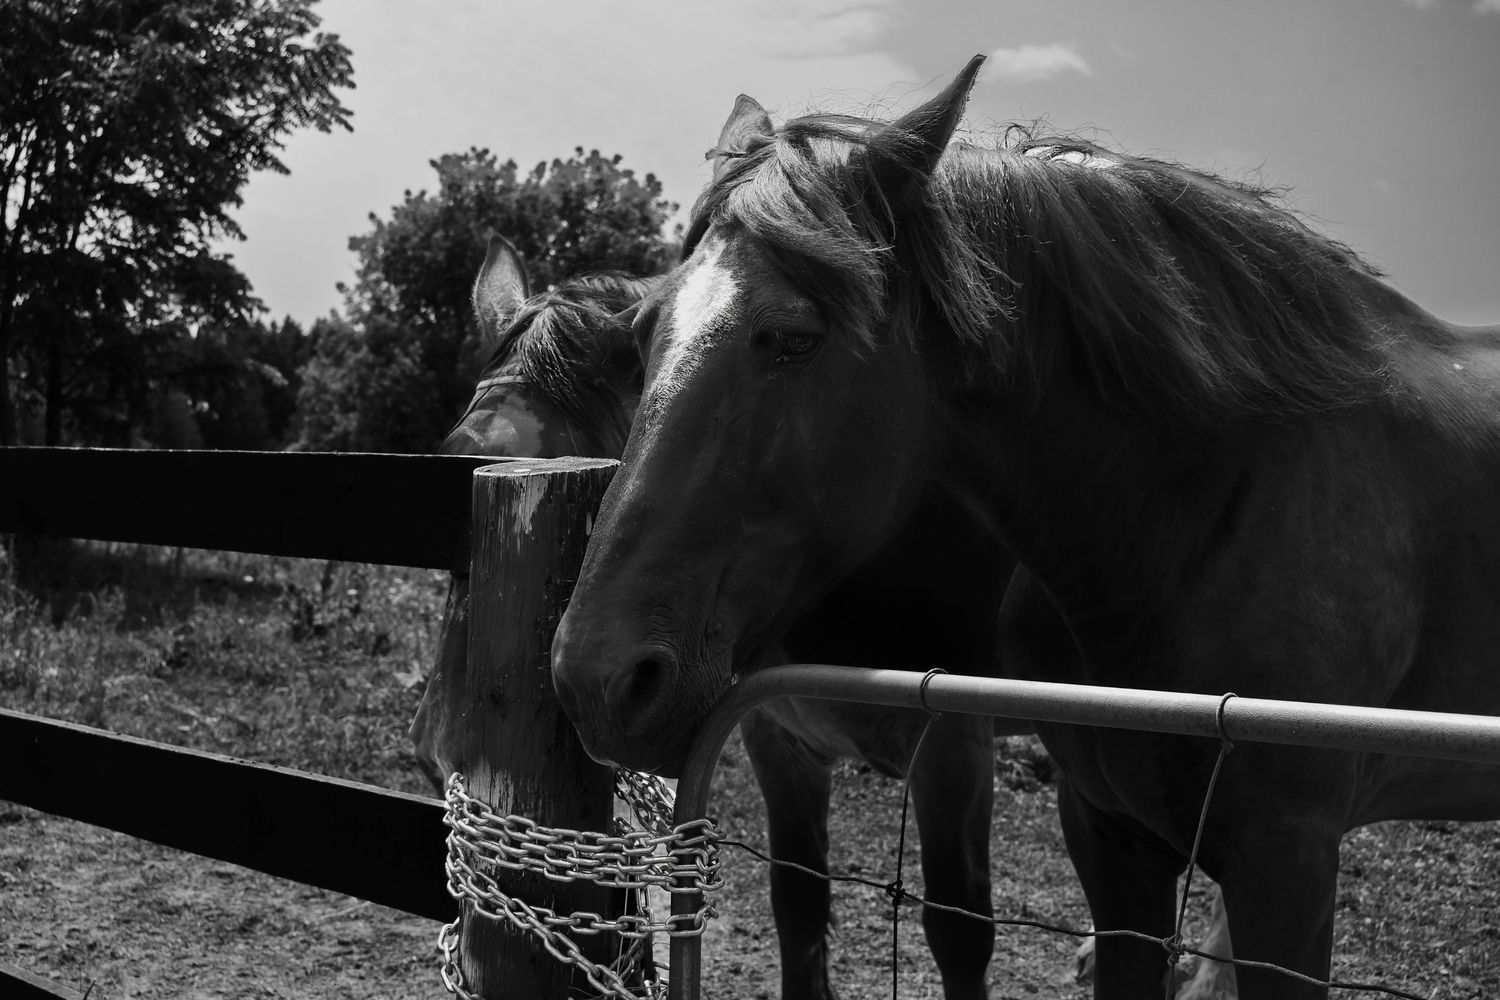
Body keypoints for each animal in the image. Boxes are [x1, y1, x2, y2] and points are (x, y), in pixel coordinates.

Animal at [551, 54, 1500, 1000]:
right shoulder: (1106, 834)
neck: (1210, 502)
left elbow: (958, 925)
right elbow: (805, 909)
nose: (596, 679)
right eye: (642, 335)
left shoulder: (1275, 853)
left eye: (794, 337)